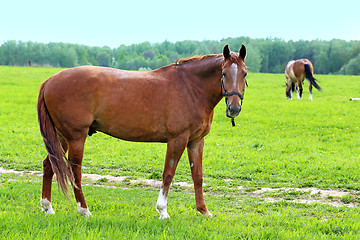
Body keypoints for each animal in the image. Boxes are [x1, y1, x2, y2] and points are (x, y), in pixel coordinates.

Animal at [37, 44, 248, 219]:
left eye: (244, 74)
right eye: (223, 73)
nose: (234, 108)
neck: (190, 87)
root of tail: (50, 80)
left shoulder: (196, 141)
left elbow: (198, 176)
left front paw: (204, 211)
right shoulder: (177, 139)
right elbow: (168, 174)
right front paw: (163, 211)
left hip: (61, 137)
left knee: (49, 165)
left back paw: (48, 207)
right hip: (75, 138)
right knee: (75, 171)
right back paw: (84, 210)